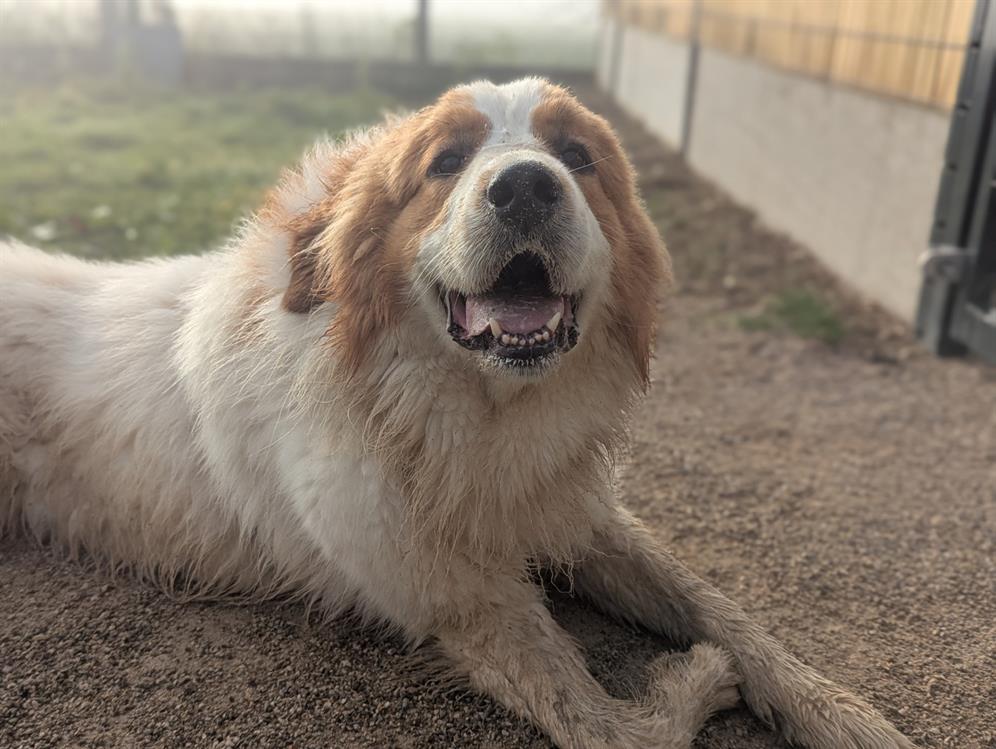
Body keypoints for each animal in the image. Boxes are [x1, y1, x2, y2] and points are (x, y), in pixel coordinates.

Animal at [0, 78, 912, 748]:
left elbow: (727, 612)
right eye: (446, 161)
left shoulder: (577, 515)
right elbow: (619, 725)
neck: (470, 414)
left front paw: (842, 714)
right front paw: (695, 678)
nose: (526, 185)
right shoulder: (463, 603)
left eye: (577, 155)